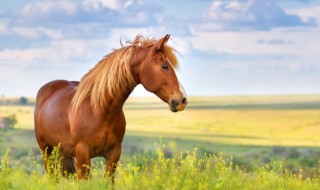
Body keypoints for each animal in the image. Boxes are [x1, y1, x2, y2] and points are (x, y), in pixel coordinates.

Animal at [34, 34, 188, 181]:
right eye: (165, 66)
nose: (183, 100)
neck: (100, 110)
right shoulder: (83, 156)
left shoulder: (113, 155)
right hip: (46, 151)